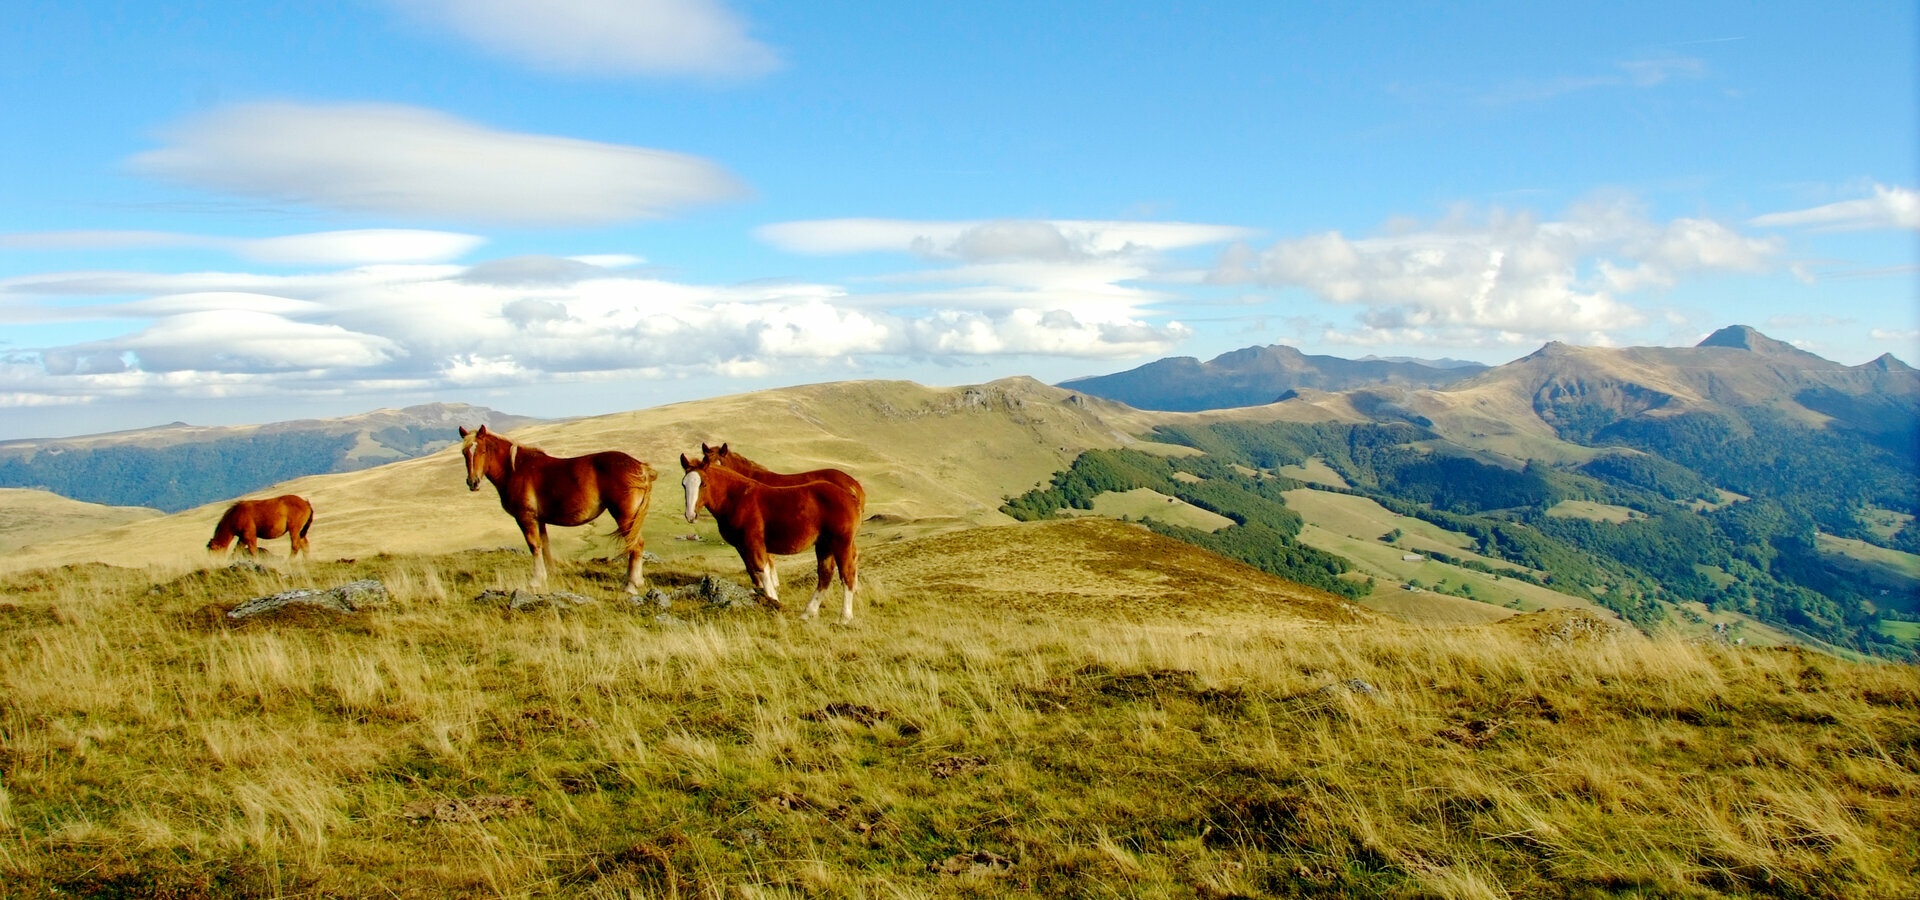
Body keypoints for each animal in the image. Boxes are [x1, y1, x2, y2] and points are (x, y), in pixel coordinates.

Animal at [460, 424, 656, 591]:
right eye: (464, 452)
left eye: (483, 450)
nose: (473, 482)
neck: (515, 470)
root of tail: (640, 467)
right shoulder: (539, 520)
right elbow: (544, 545)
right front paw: (549, 574)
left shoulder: (525, 518)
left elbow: (534, 546)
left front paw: (536, 580)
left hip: (625, 516)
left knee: (636, 545)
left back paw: (631, 585)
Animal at [675, 452, 856, 621]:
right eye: (683, 484)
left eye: (703, 484)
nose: (690, 515)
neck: (737, 498)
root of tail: (851, 495)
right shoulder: (744, 547)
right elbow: (760, 572)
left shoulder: (753, 543)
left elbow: (762, 571)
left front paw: (774, 602)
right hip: (824, 545)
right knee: (825, 575)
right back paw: (808, 612)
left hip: (840, 543)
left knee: (847, 574)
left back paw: (845, 617)